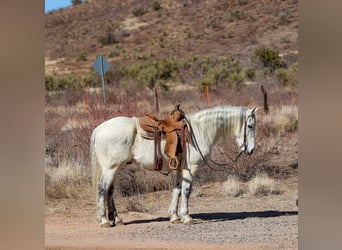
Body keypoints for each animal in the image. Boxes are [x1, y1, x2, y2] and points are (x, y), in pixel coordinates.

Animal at [90, 105, 256, 227]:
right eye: (250, 126)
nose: (251, 150)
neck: (200, 130)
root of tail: (98, 129)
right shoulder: (191, 169)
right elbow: (187, 191)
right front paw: (186, 217)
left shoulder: (179, 169)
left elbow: (177, 190)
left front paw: (174, 216)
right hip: (111, 168)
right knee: (102, 189)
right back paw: (104, 220)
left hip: (115, 168)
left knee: (110, 191)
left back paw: (117, 219)